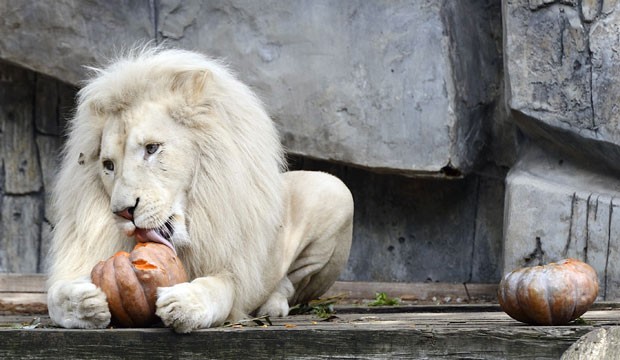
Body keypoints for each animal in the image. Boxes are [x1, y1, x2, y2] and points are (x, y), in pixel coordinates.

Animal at [46, 46, 354, 334]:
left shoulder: (234, 270)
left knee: (290, 284)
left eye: (152, 148)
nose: (123, 212)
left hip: (337, 192)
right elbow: (53, 296)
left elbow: (218, 288)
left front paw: (184, 304)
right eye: (108, 165)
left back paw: (272, 305)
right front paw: (82, 303)